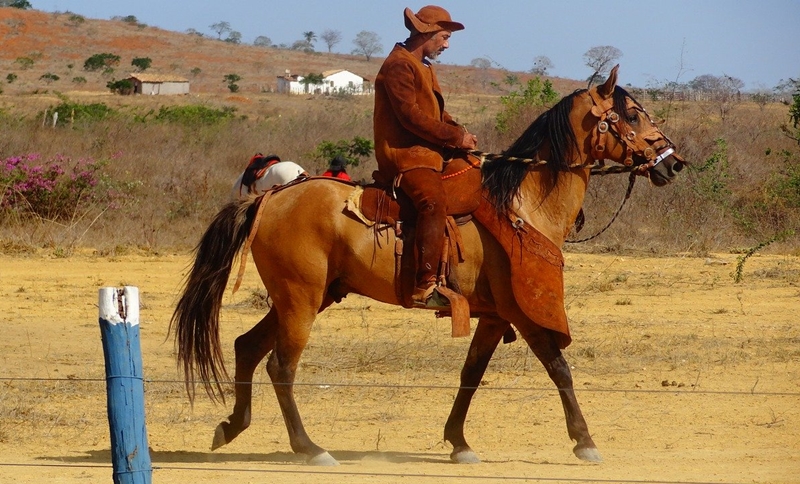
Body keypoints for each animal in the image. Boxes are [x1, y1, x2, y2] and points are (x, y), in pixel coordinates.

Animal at [172, 66, 684, 466]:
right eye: (633, 115)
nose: (672, 162)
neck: (521, 202)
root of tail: (271, 197)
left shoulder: (493, 316)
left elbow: (471, 375)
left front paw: (458, 442)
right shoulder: (522, 313)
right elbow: (559, 368)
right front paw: (585, 441)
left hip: (304, 298)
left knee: (246, 347)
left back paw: (232, 426)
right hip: (300, 299)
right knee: (280, 365)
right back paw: (309, 448)